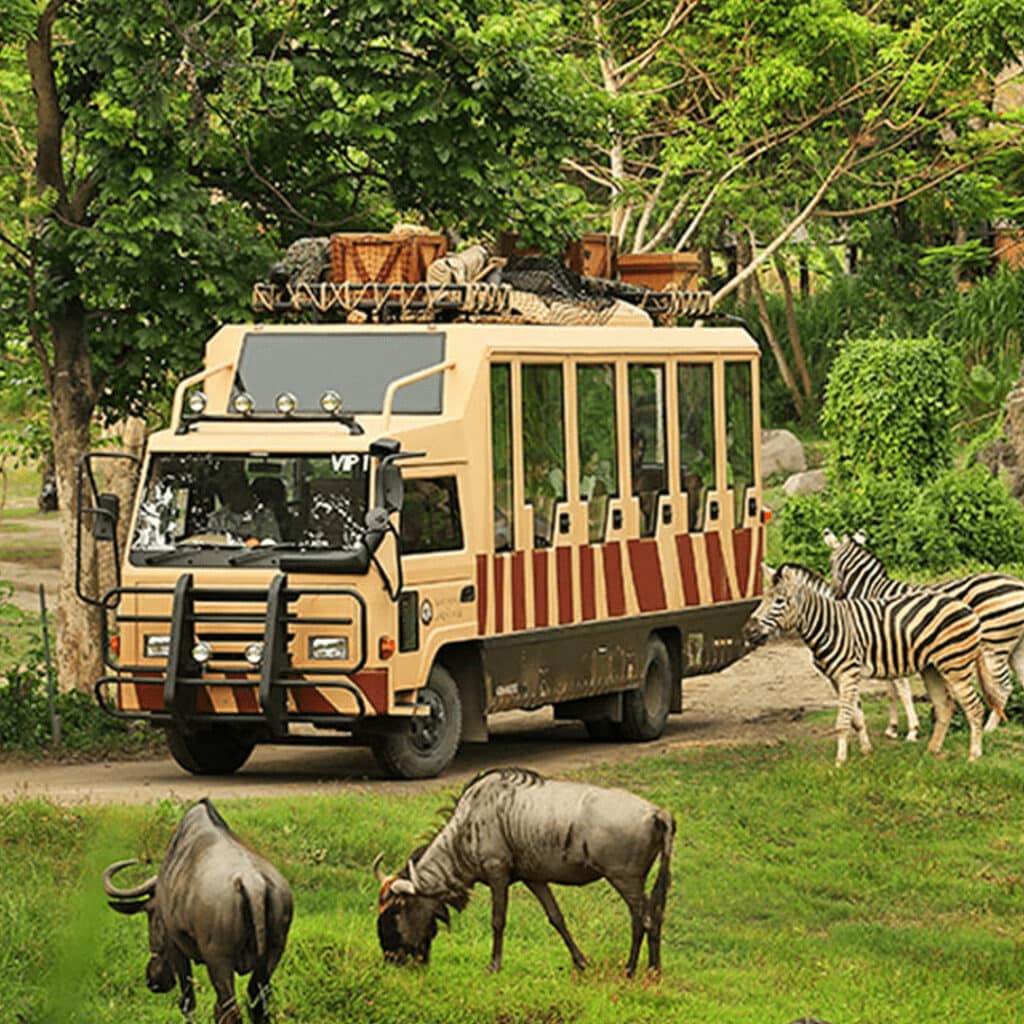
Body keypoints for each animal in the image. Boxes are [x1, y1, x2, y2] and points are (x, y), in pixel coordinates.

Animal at [745, 565, 999, 765]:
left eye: (779, 601)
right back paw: (932, 751)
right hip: (932, 668)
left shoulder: (848, 673)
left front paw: (840, 762)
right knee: (946, 706)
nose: (748, 631)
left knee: (975, 708)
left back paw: (974, 755)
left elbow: (842, 720)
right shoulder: (837, 677)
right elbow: (856, 718)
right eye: (762, 599)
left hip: (955, 666)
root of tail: (967, 608)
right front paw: (866, 751)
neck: (829, 624)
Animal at [823, 528, 1024, 737]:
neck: (874, 592)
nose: (836, 595)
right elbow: (890, 691)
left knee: (1004, 686)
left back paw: (988, 728)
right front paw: (892, 728)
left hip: (994, 644)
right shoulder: (883, 650)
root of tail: (1018, 583)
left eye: (830, 562)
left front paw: (913, 730)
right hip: (1016, 647)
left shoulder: (894, 646)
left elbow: (902, 690)